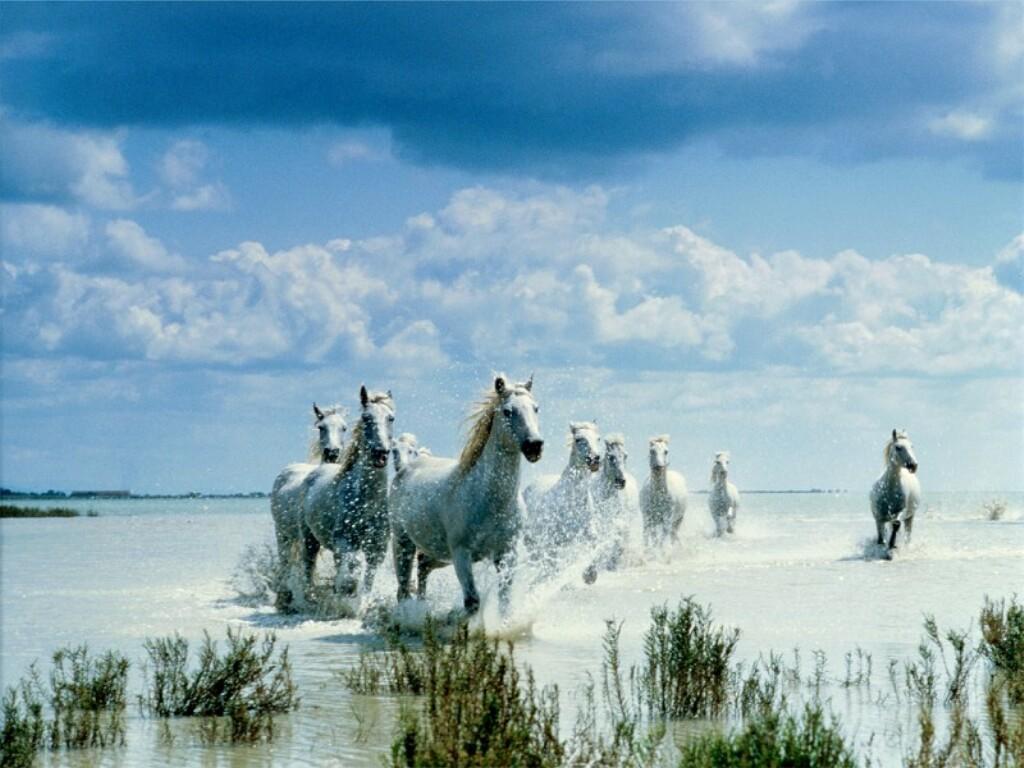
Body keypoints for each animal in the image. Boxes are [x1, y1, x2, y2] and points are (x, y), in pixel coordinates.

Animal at [270, 404, 348, 610]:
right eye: (321, 427)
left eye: (344, 428)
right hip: (282, 533)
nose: (332, 452)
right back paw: (284, 597)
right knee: (285, 562)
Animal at [297, 386, 395, 599]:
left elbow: (368, 579)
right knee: (308, 564)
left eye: (391, 418)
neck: (367, 502)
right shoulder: (343, 541)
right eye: (366, 417)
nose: (380, 453)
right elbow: (352, 568)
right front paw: (345, 591)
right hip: (309, 537)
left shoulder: (377, 548)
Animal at [390, 374, 543, 614]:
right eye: (508, 411)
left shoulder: (506, 552)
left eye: (536, 408)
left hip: (437, 553)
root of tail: (405, 469)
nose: (534, 446)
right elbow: (472, 601)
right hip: (403, 543)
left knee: (423, 569)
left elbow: (505, 599)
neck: (488, 498)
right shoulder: (461, 553)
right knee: (403, 589)